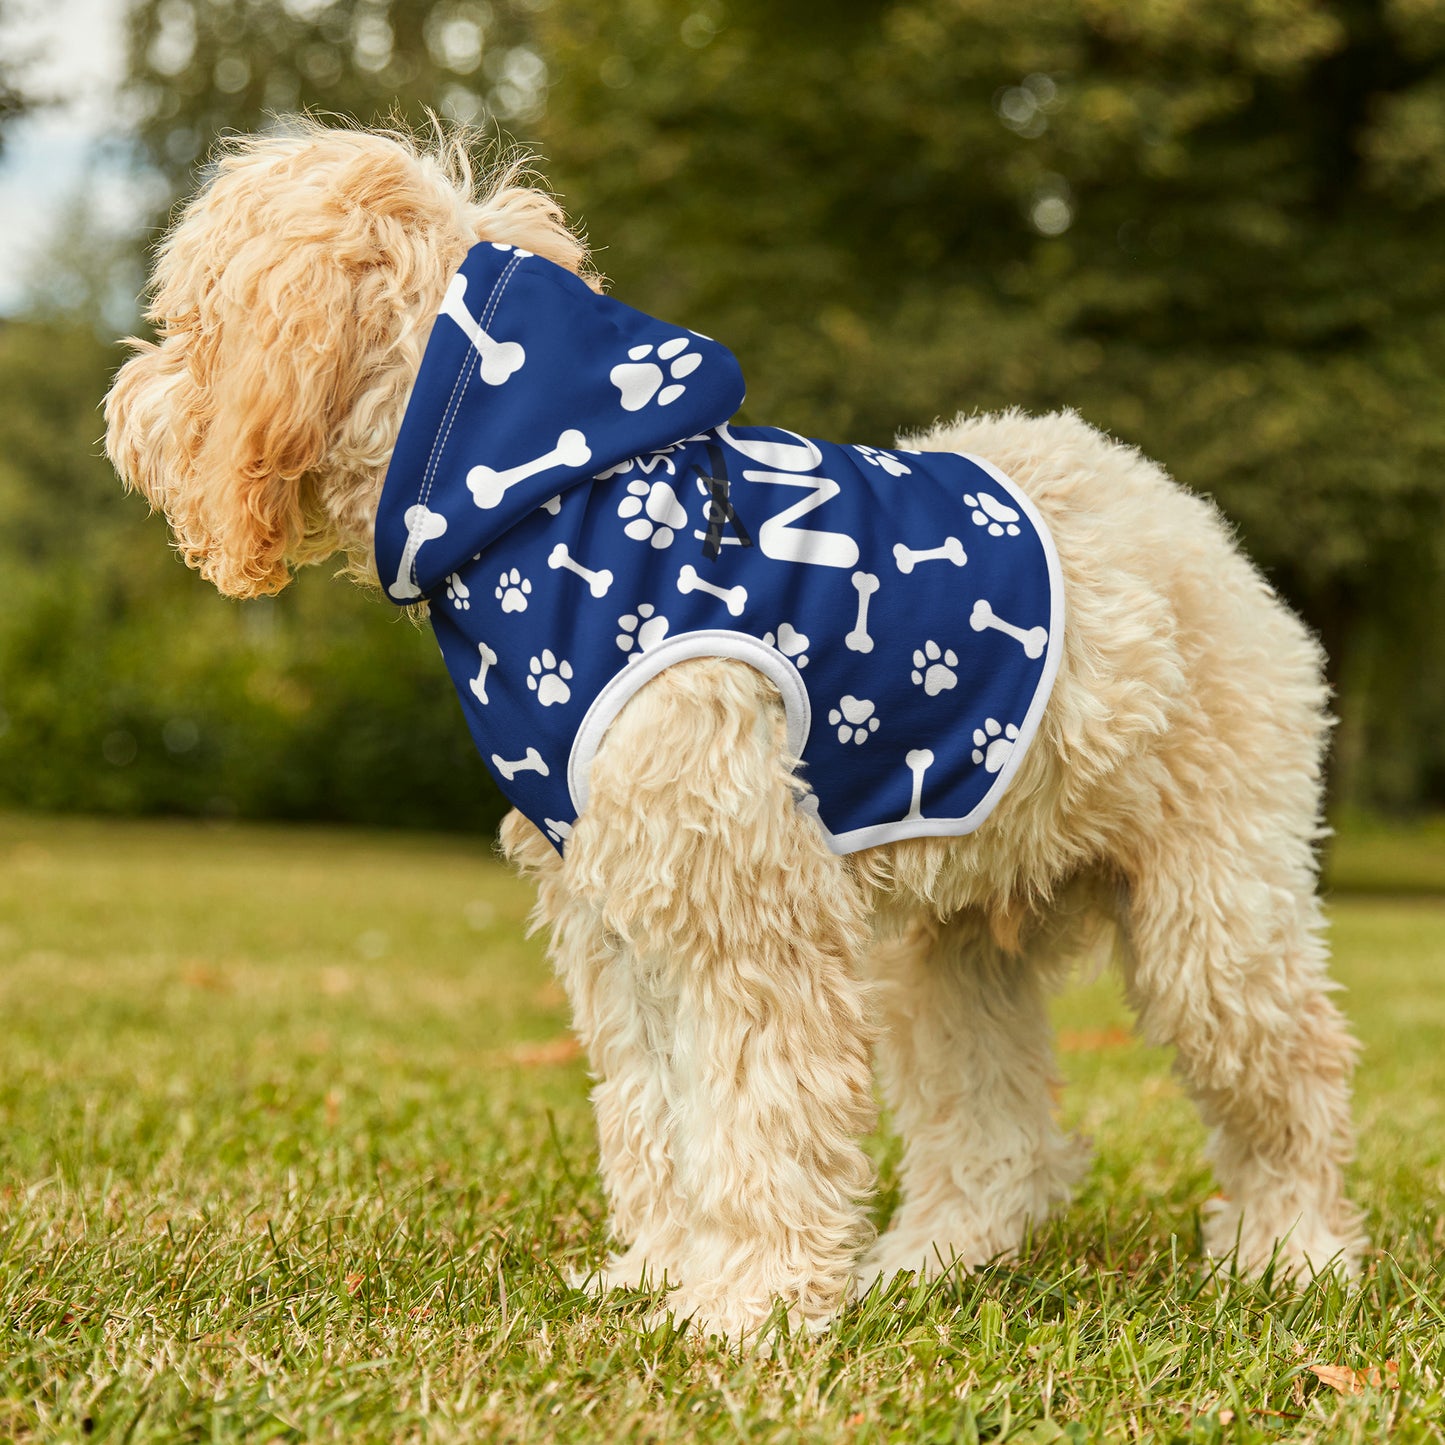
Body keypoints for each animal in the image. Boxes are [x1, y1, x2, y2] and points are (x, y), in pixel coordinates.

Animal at [106, 124, 1358, 1340]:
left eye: (190, 323)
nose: (123, 407)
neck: (543, 505)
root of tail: (1183, 515)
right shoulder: (617, 914)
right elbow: (656, 1110)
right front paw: (661, 1272)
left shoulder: (744, 906)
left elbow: (758, 1113)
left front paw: (745, 1304)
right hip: (949, 948)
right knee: (997, 1132)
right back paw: (931, 1260)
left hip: (1212, 917)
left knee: (1293, 1074)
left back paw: (1291, 1252)